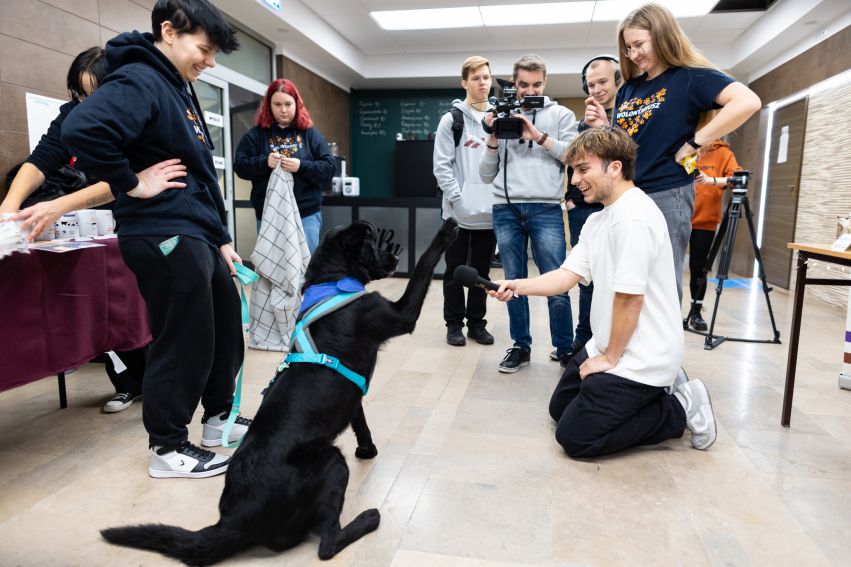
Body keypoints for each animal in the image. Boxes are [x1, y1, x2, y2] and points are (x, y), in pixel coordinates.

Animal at [100, 216, 460, 564]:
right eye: (372, 243)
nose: (395, 258)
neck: (331, 279)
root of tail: (236, 519)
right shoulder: (399, 315)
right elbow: (424, 264)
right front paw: (446, 231)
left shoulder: (352, 390)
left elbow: (360, 420)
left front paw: (367, 450)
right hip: (331, 462)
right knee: (327, 544)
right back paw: (368, 519)